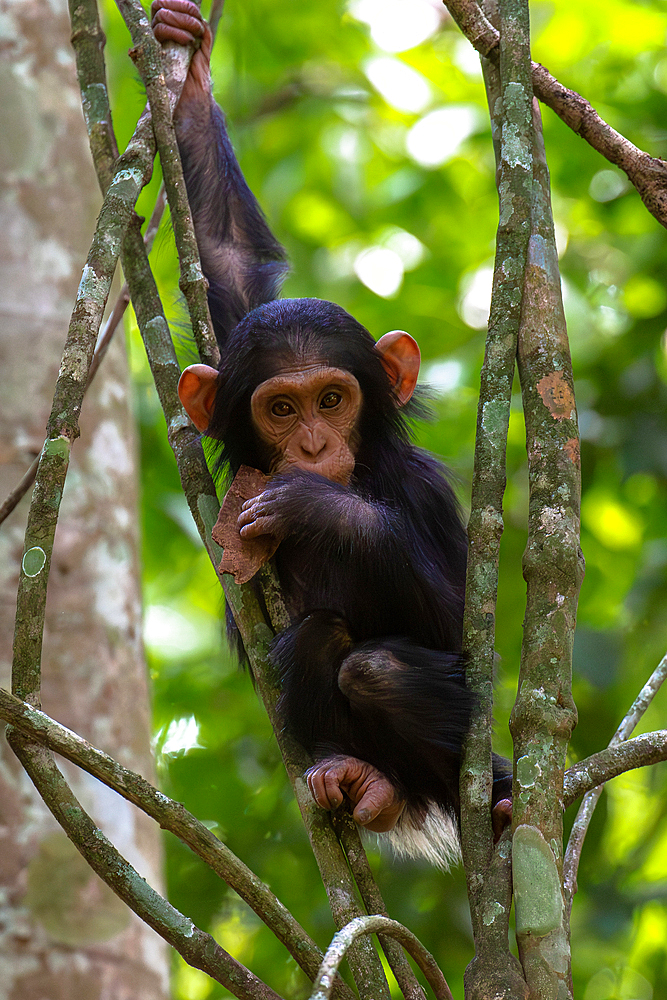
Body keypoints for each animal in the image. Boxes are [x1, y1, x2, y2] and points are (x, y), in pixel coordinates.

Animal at [153, 0, 512, 864]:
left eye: (331, 399)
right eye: (281, 409)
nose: (314, 447)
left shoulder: (420, 491)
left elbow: (458, 619)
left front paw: (317, 508)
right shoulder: (233, 322)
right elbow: (227, 256)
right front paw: (190, 81)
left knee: (372, 667)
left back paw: (496, 801)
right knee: (318, 641)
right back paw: (357, 778)